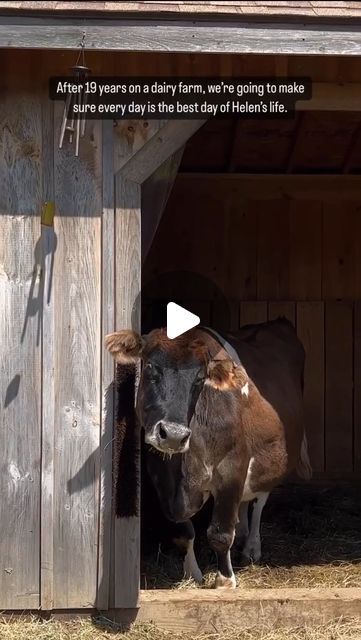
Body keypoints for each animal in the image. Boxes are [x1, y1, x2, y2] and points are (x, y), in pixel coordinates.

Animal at [105, 320, 310, 592]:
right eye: (149, 366)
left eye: (201, 378)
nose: (173, 435)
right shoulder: (161, 478)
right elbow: (184, 532)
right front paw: (193, 573)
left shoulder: (232, 468)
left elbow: (220, 532)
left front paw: (224, 580)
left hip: (272, 459)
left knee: (260, 500)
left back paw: (252, 546)